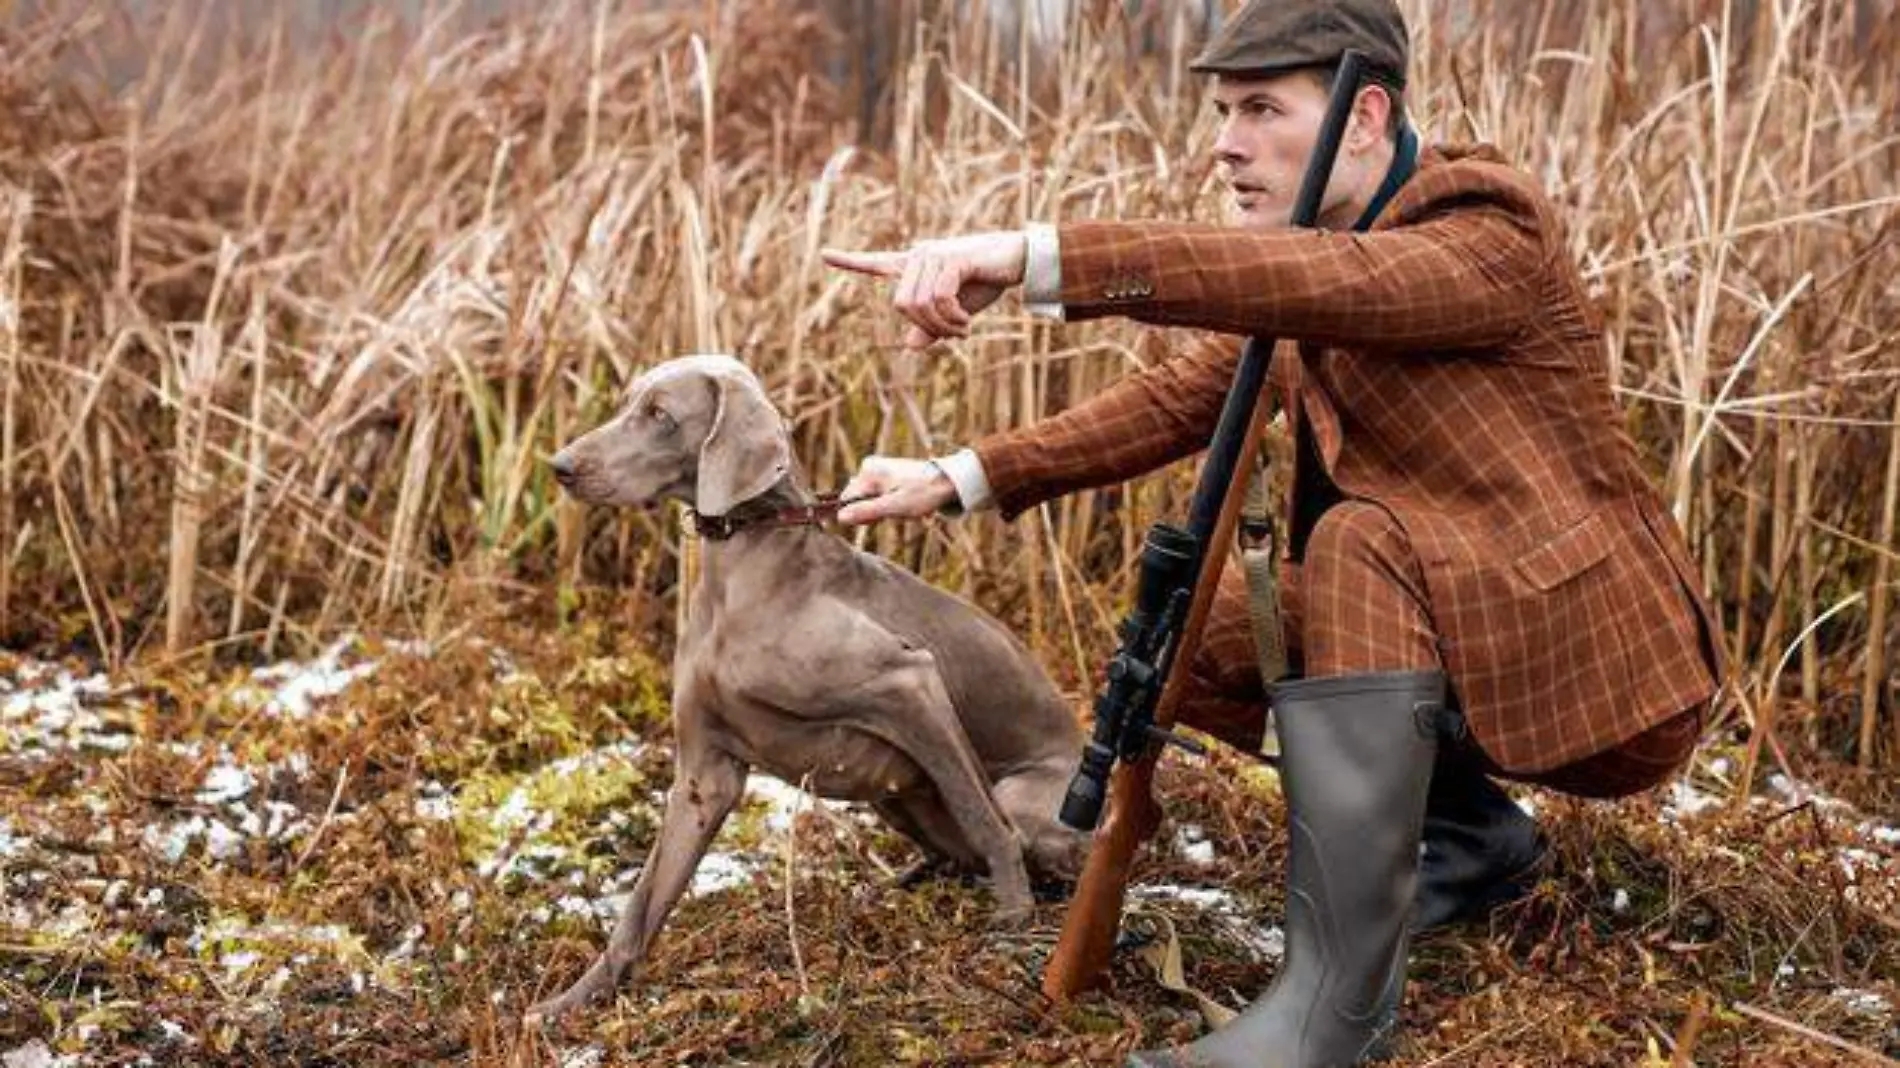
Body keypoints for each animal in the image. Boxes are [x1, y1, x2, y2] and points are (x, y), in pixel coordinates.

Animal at [528, 355, 1094, 1010]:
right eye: (627, 404)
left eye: (661, 415)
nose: (560, 466)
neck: (741, 579)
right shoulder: (702, 778)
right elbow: (642, 904)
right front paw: (572, 1002)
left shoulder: (911, 683)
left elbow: (986, 821)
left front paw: (1013, 921)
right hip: (894, 797)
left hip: (1019, 795)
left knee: (1016, 832)